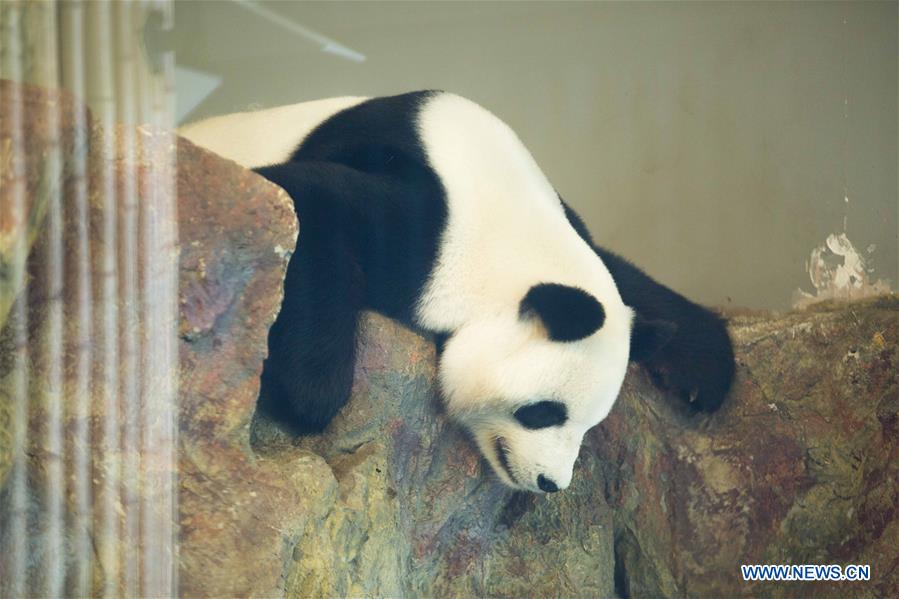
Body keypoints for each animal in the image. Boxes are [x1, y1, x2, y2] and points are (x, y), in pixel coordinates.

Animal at [180, 91, 735, 494]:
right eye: (542, 412)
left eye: (592, 426)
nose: (551, 483)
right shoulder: (423, 224)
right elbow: (307, 195)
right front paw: (308, 392)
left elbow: (624, 275)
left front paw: (704, 370)